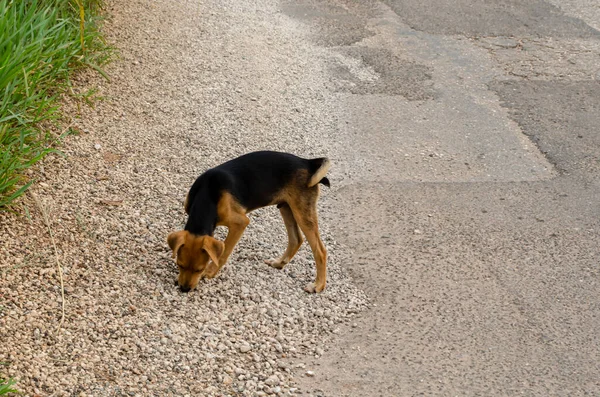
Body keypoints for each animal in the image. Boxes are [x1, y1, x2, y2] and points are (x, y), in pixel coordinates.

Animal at [166, 150, 330, 292]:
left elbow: (225, 251)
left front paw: (211, 271)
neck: (208, 194)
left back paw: (318, 285)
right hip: (286, 207)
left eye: (199, 269)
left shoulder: (240, 223)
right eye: (179, 265)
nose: (184, 289)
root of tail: (308, 163)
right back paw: (279, 263)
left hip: (302, 212)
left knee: (320, 251)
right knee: (296, 239)